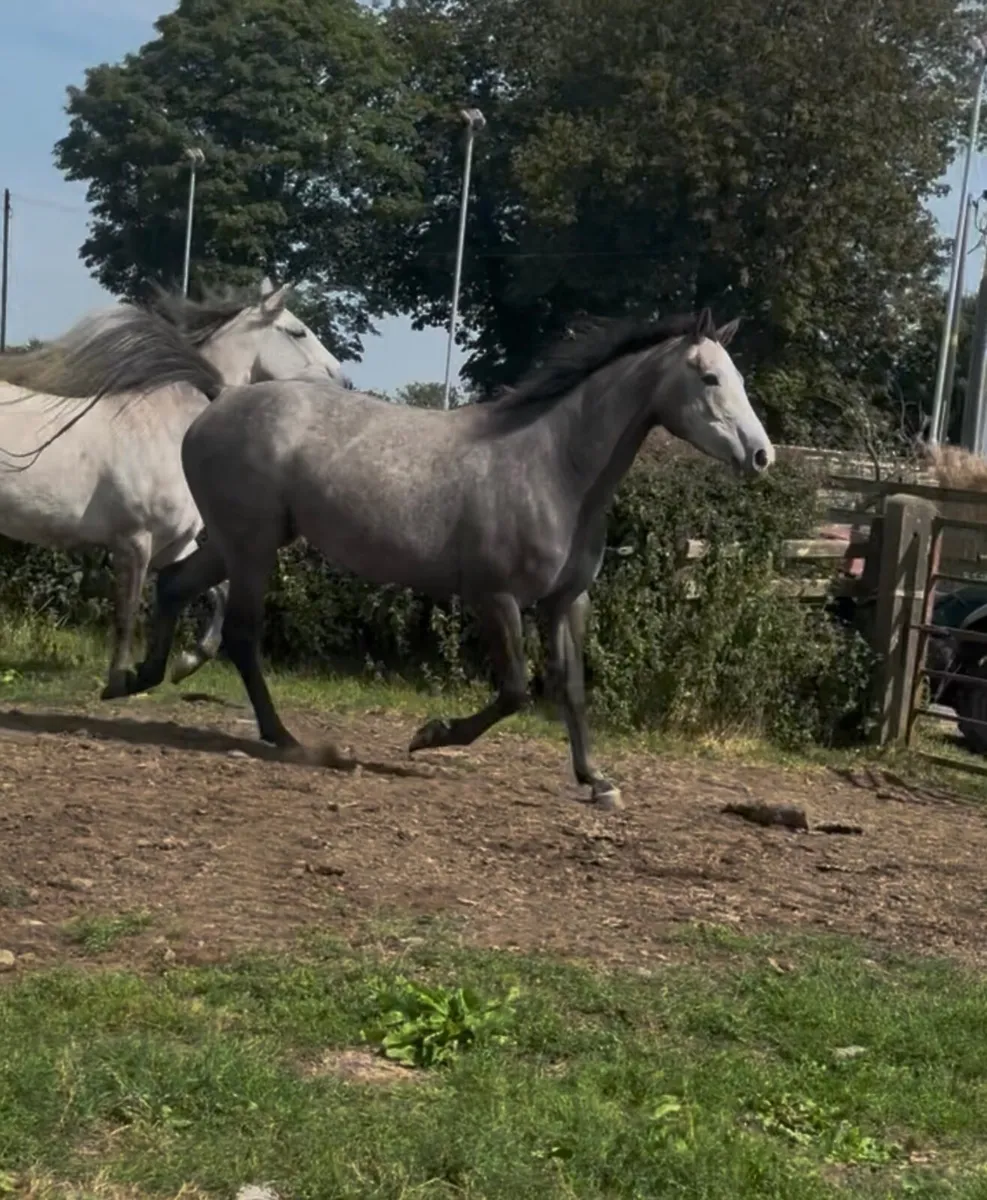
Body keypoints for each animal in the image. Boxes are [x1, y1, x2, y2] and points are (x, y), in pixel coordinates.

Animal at [0, 279, 344, 698]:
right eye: (297, 332)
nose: (344, 380)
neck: (168, 428)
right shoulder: (134, 541)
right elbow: (127, 614)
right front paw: (120, 682)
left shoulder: (174, 544)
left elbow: (213, 590)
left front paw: (186, 663)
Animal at [51, 303, 775, 809]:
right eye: (709, 377)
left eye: (738, 375)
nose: (762, 455)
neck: (553, 467)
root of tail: (218, 401)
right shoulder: (495, 598)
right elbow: (517, 690)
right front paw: (428, 735)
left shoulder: (565, 601)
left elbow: (570, 689)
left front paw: (597, 780)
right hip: (252, 546)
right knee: (242, 634)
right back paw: (287, 740)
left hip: (242, 542)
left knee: (176, 585)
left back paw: (136, 678)